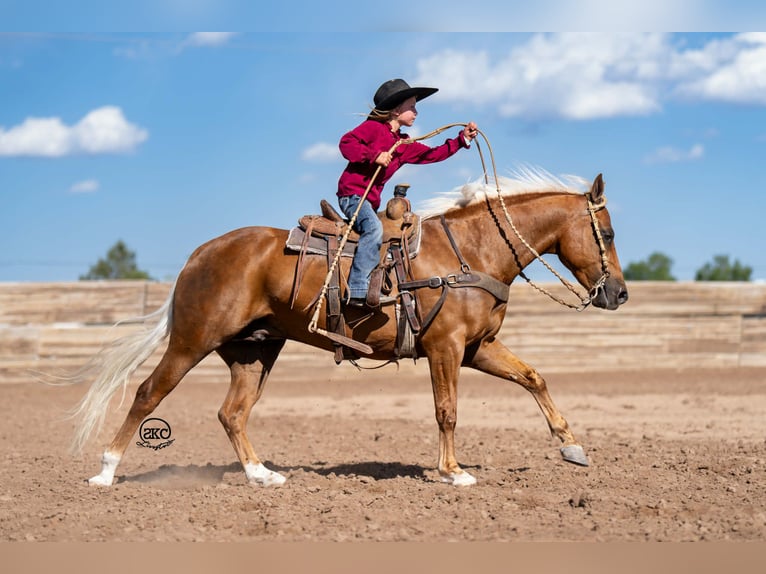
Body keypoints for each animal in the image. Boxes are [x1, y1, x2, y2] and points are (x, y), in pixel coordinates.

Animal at [71, 169, 628, 487]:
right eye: (607, 232)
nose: (619, 293)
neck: (470, 251)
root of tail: (199, 254)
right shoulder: (445, 347)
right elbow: (446, 411)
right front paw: (453, 472)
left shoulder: (478, 347)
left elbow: (534, 377)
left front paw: (572, 448)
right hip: (192, 340)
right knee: (148, 393)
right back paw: (105, 472)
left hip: (254, 350)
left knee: (232, 413)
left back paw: (261, 474)